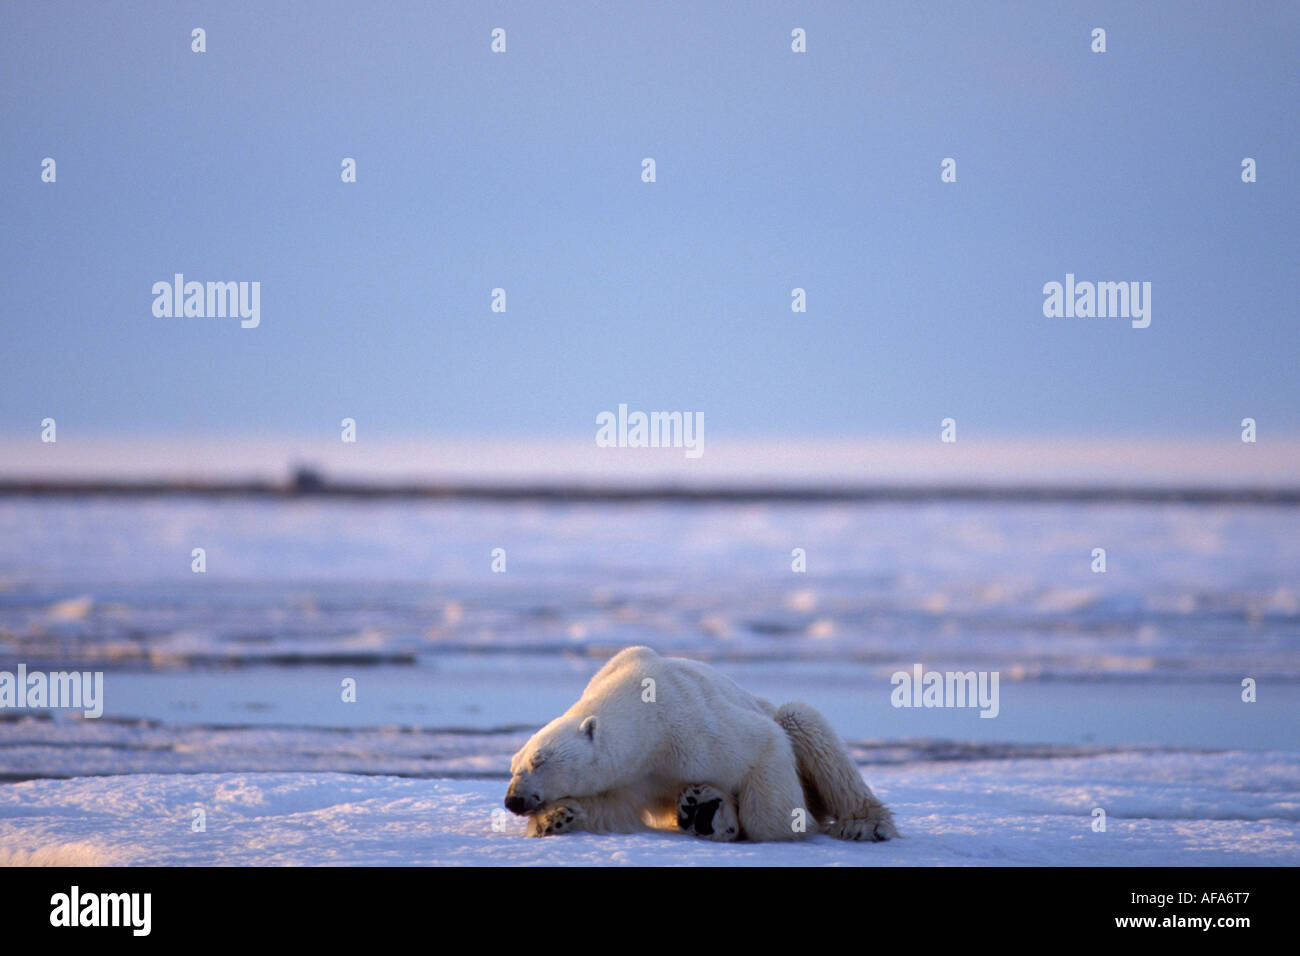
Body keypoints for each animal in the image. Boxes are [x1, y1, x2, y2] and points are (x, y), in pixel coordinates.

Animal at [504, 645, 897, 842]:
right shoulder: (635, 775)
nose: (513, 800)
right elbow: (615, 807)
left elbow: (764, 748)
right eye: (512, 767)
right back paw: (702, 809)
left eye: (539, 761)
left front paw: (782, 830)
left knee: (802, 721)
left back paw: (864, 825)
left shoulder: (689, 729)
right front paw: (556, 817)